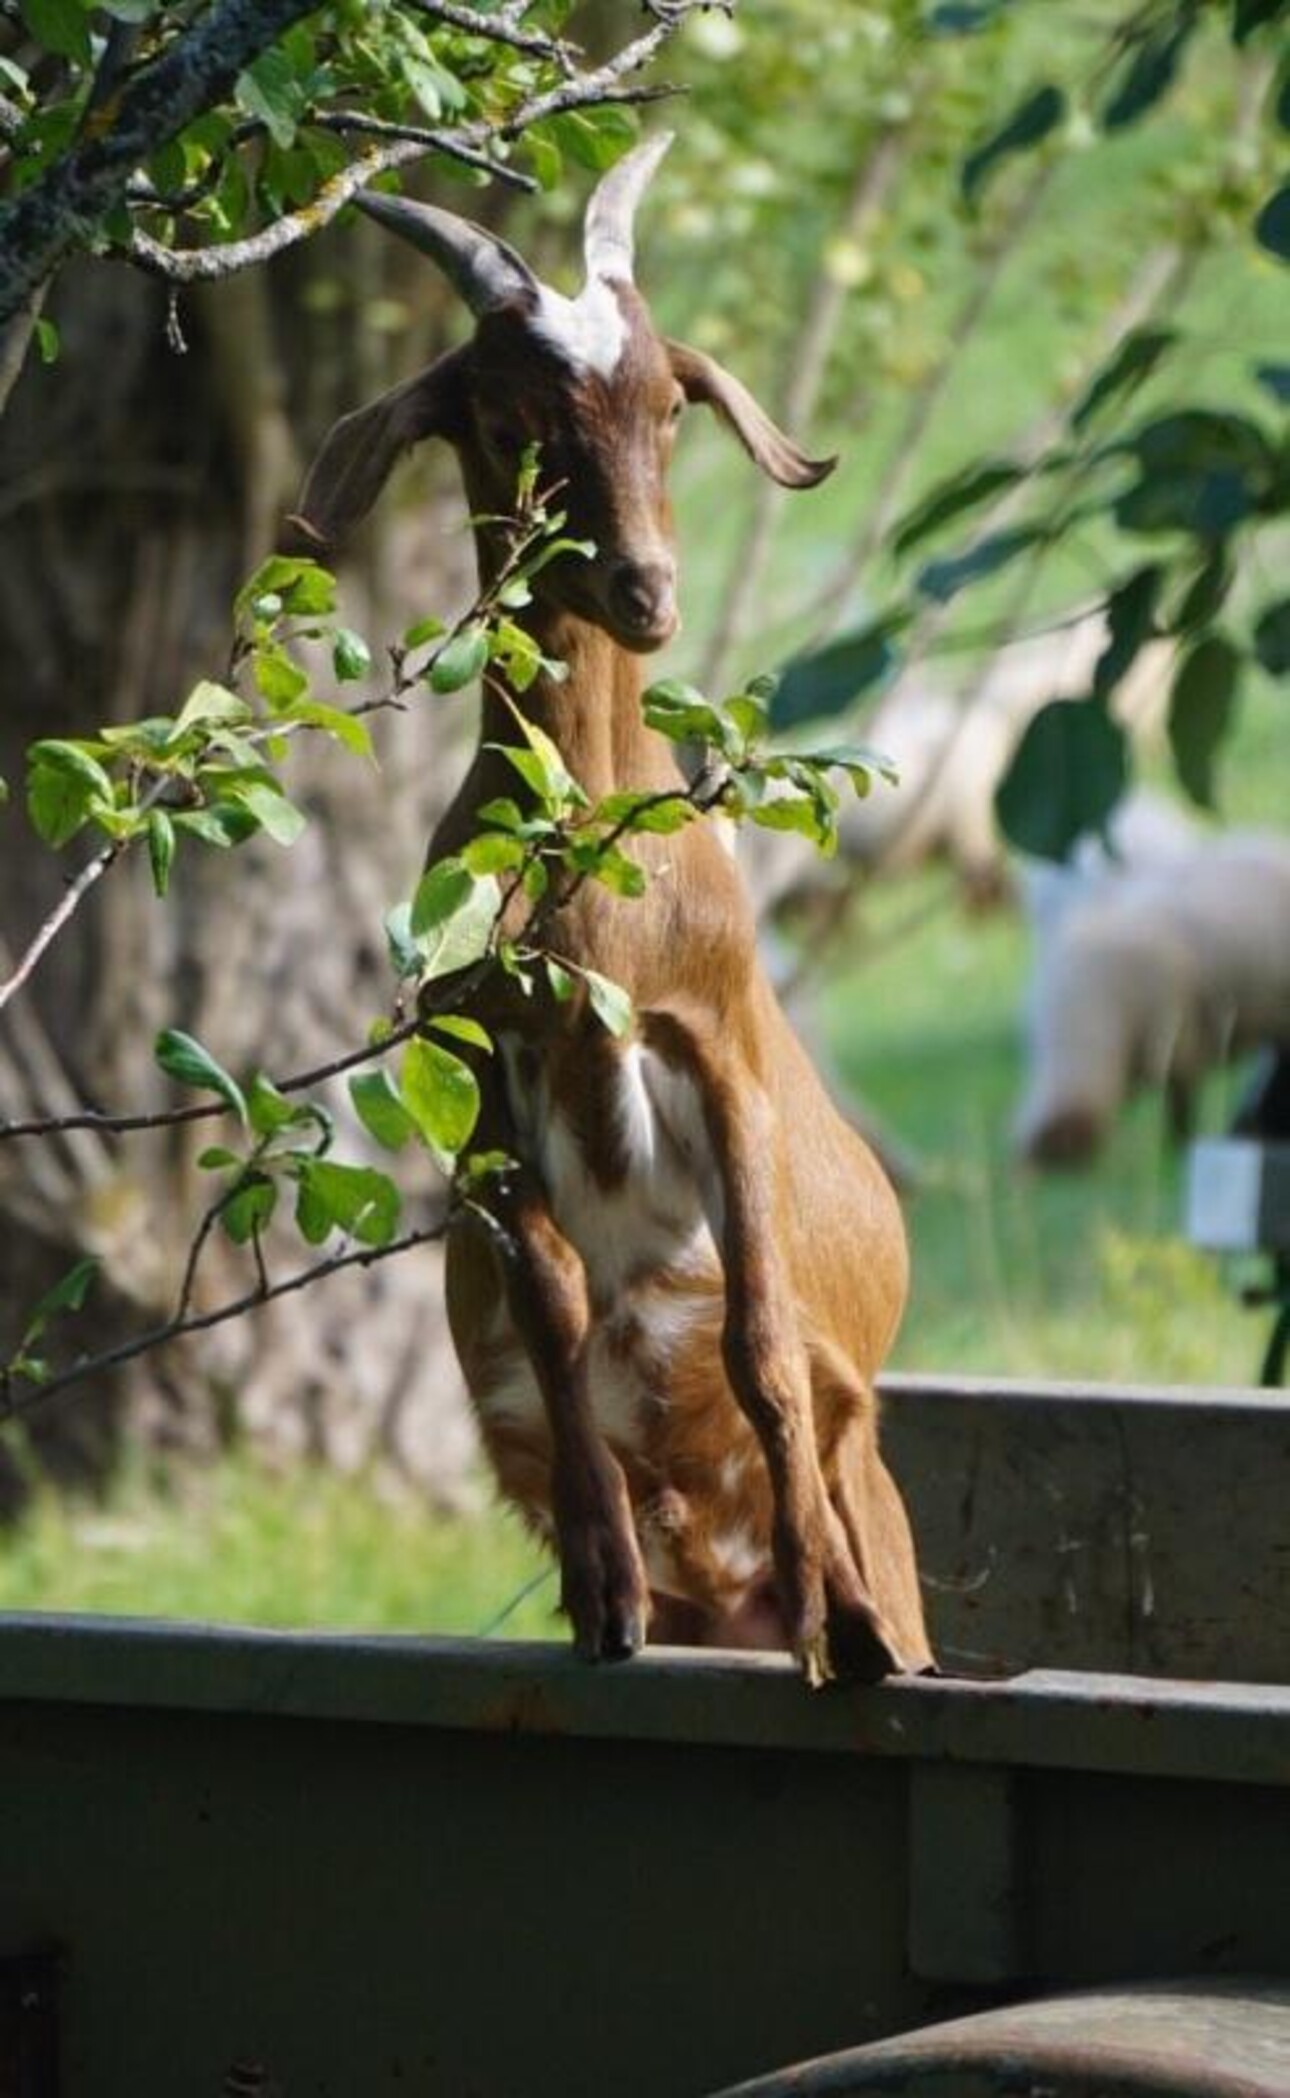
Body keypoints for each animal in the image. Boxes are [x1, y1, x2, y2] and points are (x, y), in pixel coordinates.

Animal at [289, 135, 927, 1686]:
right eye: (512, 414)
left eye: (665, 404)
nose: (646, 590)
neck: (588, 863)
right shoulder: (486, 1082)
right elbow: (560, 1305)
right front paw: (602, 1598)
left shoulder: (720, 1045)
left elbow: (760, 1337)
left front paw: (836, 1624)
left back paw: (839, 1604)